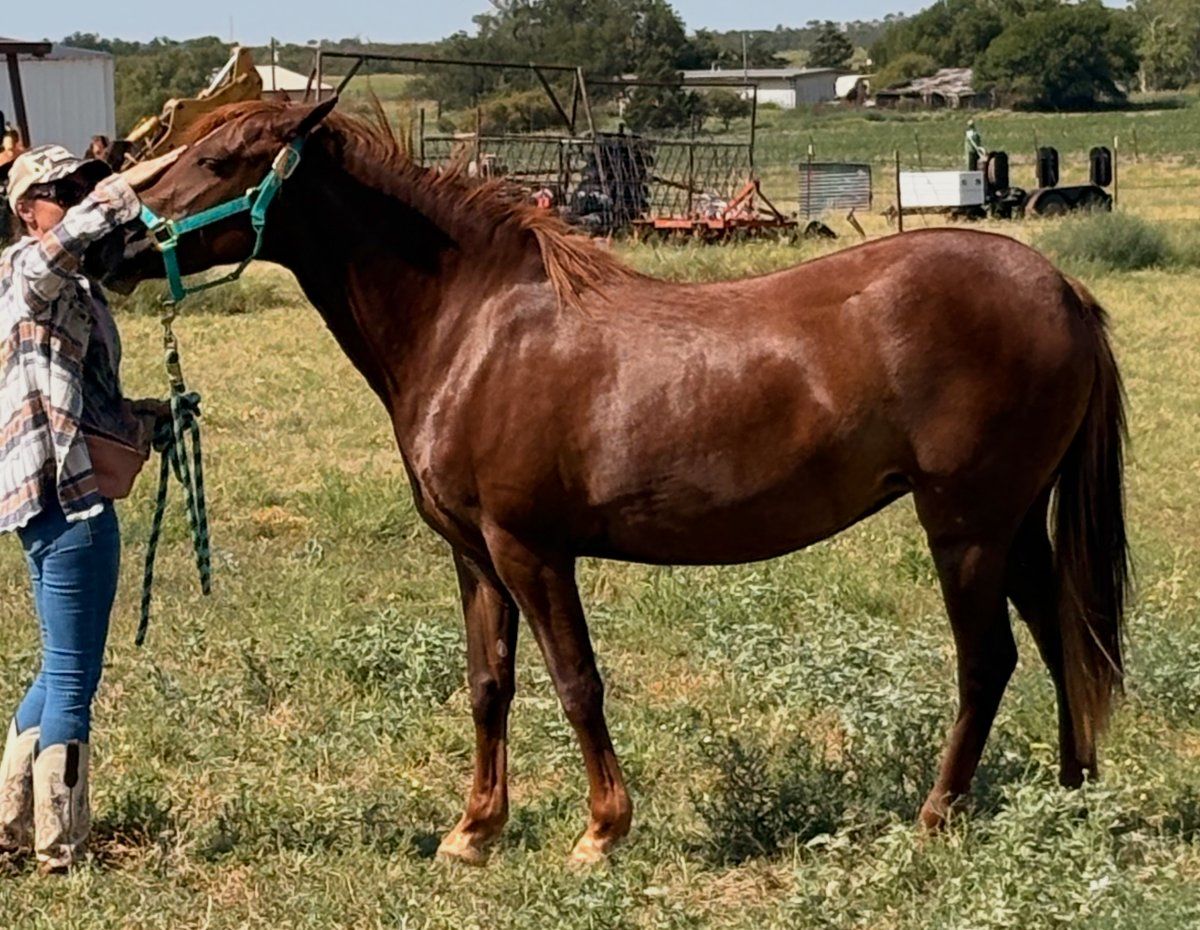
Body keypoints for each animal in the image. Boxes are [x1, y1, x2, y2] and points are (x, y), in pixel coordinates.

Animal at [106, 99, 1128, 865]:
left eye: (222, 157)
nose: (109, 243)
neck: (477, 327)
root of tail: (1061, 289)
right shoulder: (474, 556)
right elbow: (489, 683)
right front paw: (474, 831)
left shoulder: (531, 549)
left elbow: (576, 682)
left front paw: (601, 832)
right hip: (1012, 524)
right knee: (1058, 637)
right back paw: (1073, 795)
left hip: (965, 525)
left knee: (988, 660)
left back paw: (936, 816)